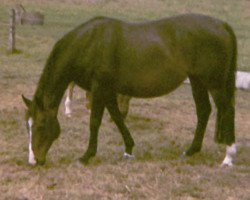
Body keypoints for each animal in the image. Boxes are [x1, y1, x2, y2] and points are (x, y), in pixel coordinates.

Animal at [21, 13, 236, 166]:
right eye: (27, 126)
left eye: (40, 125)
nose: (34, 161)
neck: (89, 43)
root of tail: (222, 25)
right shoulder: (107, 91)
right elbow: (117, 118)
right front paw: (128, 150)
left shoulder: (99, 89)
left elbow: (94, 122)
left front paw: (86, 156)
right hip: (197, 81)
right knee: (204, 111)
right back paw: (191, 151)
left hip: (214, 84)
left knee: (227, 111)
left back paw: (228, 156)